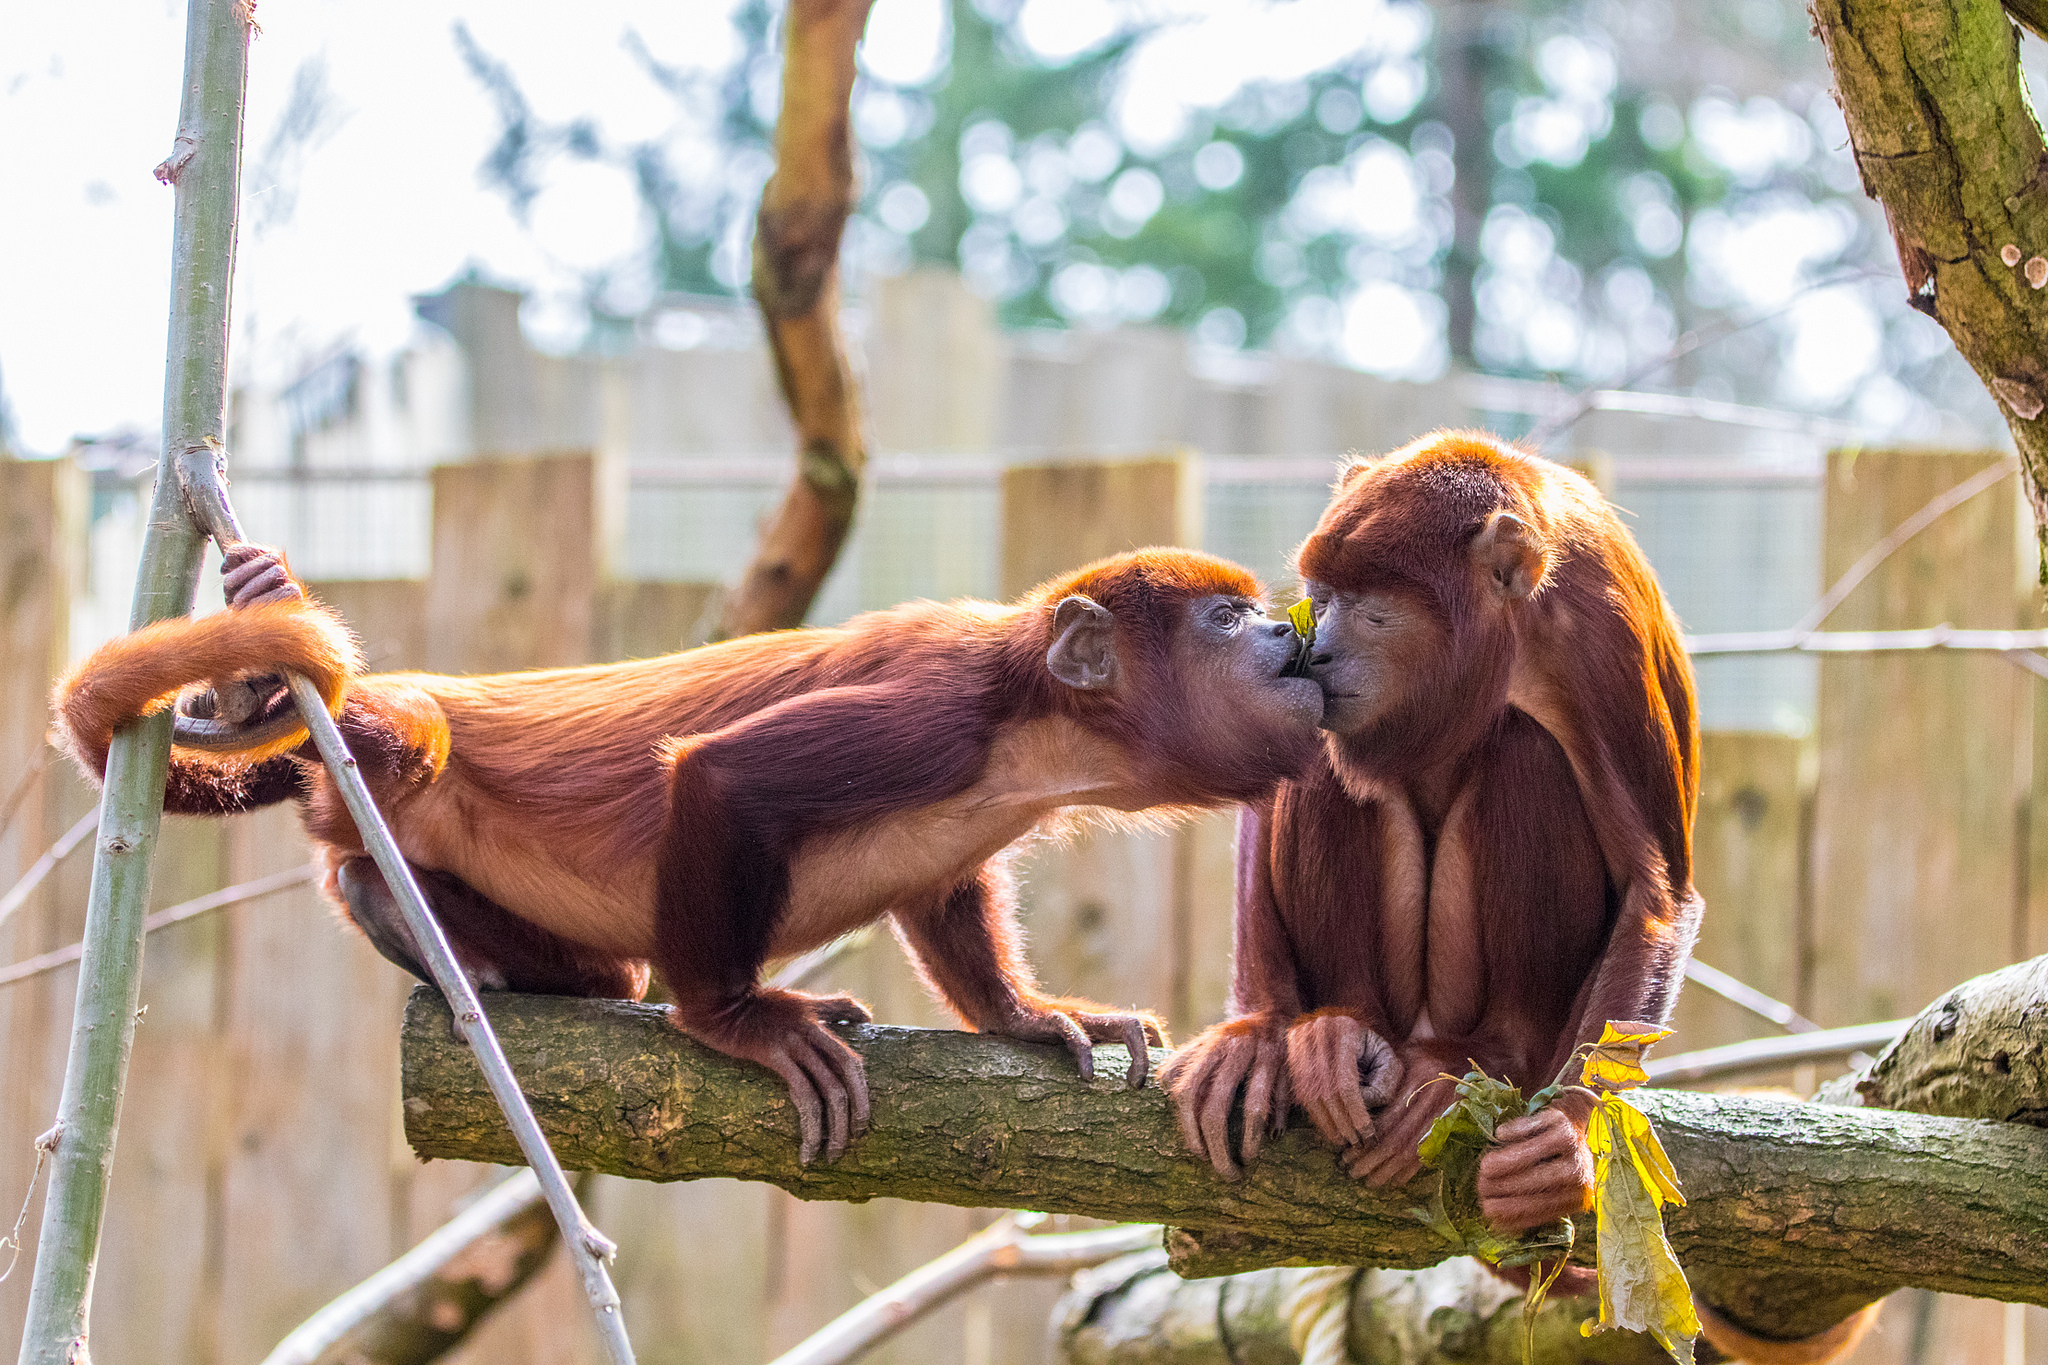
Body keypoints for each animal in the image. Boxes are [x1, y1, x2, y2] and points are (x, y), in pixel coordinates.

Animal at [59, 544, 1327, 1162]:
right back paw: (286, 701)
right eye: (1223, 621)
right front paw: (740, 1024)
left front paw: (1029, 1018)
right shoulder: (936, 717)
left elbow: (944, 896)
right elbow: (723, 778)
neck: (1035, 726)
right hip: (402, 753)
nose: (1281, 629)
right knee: (411, 739)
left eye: (1255, 612)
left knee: (582, 960)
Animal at [1163, 431, 1703, 1252]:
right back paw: (1335, 1032)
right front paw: (1256, 1029)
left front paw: (1568, 1137)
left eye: (1377, 614)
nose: (1319, 651)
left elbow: (1655, 893)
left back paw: (1481, 1058)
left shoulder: (1600, 639)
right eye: (1324, 599)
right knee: (1331, 759)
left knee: (1526, 748)